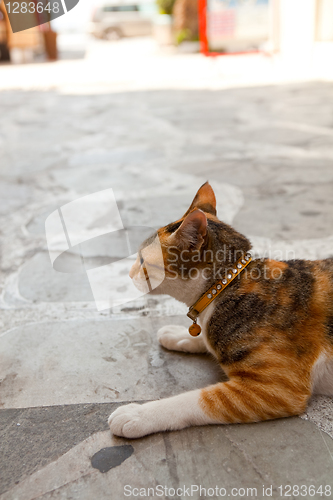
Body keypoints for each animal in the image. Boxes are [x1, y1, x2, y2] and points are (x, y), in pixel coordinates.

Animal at [107, 182, 332, 436]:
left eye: (143, 262)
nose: (129, 274)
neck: (227, 283)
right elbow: (203, 337)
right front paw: (177, 334)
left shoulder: (277, 388)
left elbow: (192, 401)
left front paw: (138, 414)